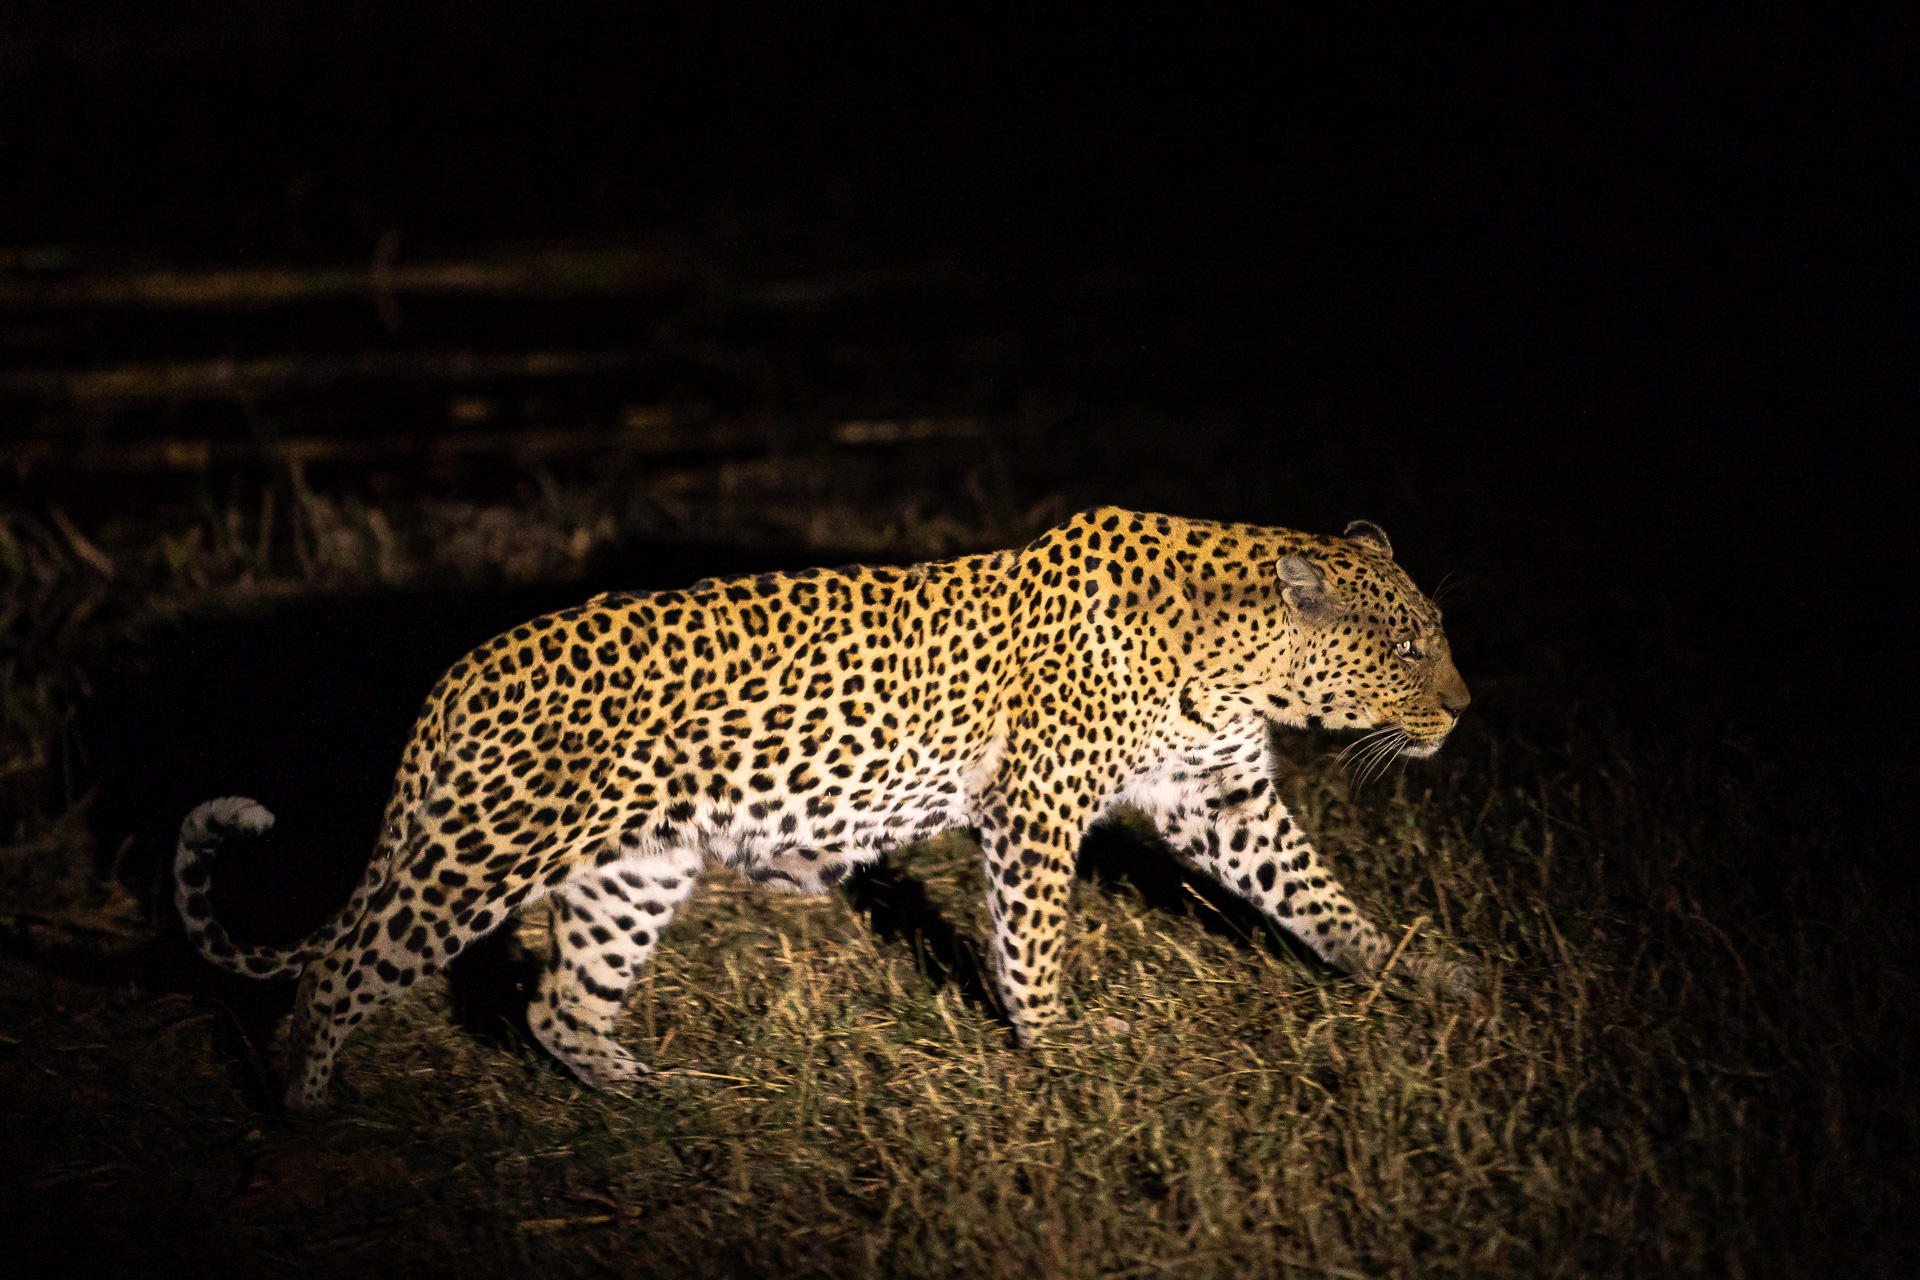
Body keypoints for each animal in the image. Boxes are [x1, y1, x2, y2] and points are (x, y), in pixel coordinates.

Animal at [175, 507, 1475, 1113]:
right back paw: (306, 1103)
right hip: (483, 849)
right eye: (1410, 646)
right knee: (343, 962)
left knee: (557, 1002)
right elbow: (1033, 941)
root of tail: (454, 678)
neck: (1237, 657)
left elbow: (1317, 894)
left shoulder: (1223, 794)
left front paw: (1414, 968)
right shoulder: (1037, 805)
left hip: (633, 868)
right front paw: (1057, 1045)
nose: (1464, 708)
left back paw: (653, 1093)